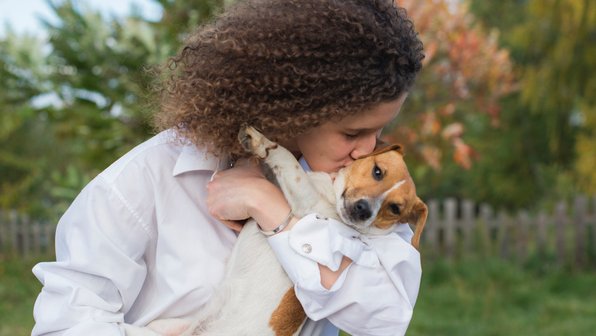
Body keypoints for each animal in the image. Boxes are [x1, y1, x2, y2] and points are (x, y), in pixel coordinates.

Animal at [129, 126, 428, 336]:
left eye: (395, 209)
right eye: (378, 172)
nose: (364, 210)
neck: (329, 194)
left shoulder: (305, 201)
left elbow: (285, 158)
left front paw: (262, 141)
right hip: (164, 325)